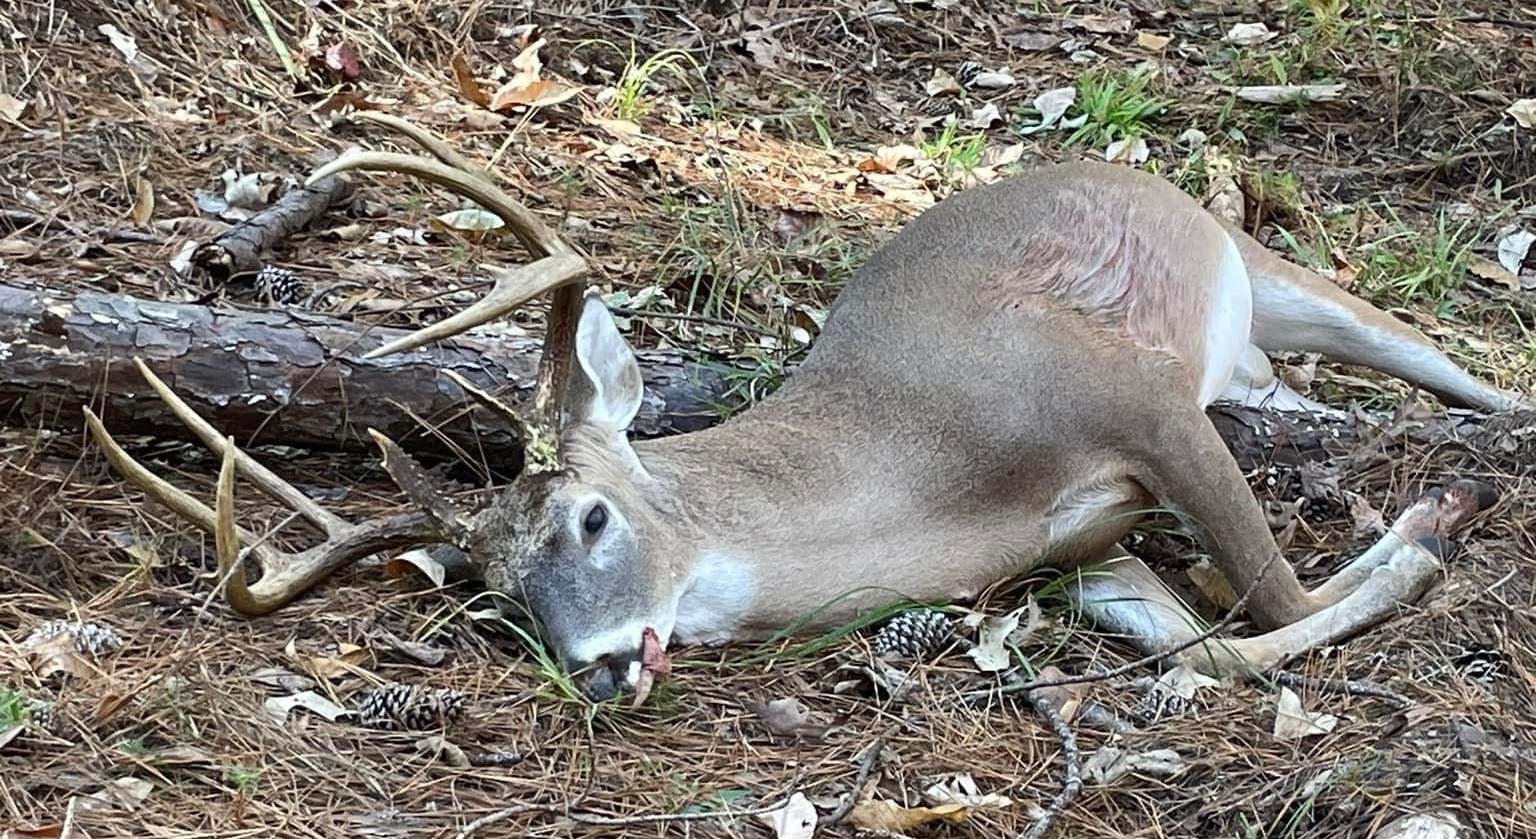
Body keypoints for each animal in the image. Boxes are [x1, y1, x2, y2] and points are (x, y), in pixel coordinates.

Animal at [87, 129, 1523, 697]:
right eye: (496, 597)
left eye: (593, 516)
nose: (596, 665)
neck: (923, 471)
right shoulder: (1073, 549)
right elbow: (1210, 647)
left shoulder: (1137, 402)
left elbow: (1278, 600)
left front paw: (1435, 522)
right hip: (1253, 353)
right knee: (1294, 389)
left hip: (1264, 277)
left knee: (1449, 359)